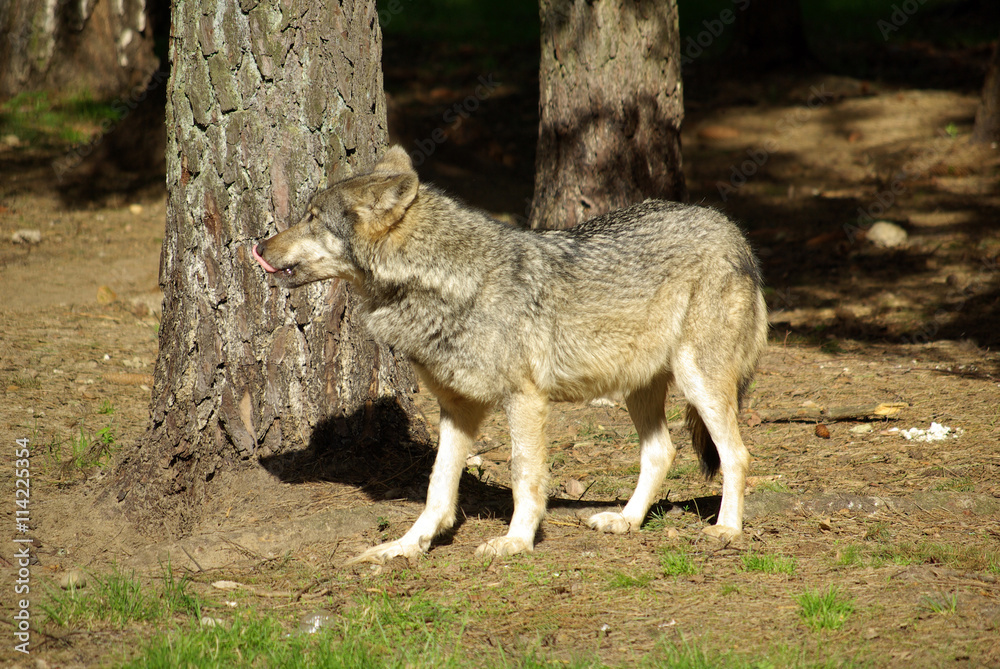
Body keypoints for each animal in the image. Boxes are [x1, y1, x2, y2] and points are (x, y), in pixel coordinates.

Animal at [254, 147, 768, 564]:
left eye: (313, 218)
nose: (257, 246)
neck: (444, 282)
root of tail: (730, 228)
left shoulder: (525, 399)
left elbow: (524, 474)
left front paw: (517, 541)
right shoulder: (457, 409)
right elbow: (437, 488)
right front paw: (406, 546)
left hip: (697, 381)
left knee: (737, 455)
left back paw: (726, 529)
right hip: (638, 389)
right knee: (662, 452)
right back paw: (627, 520)